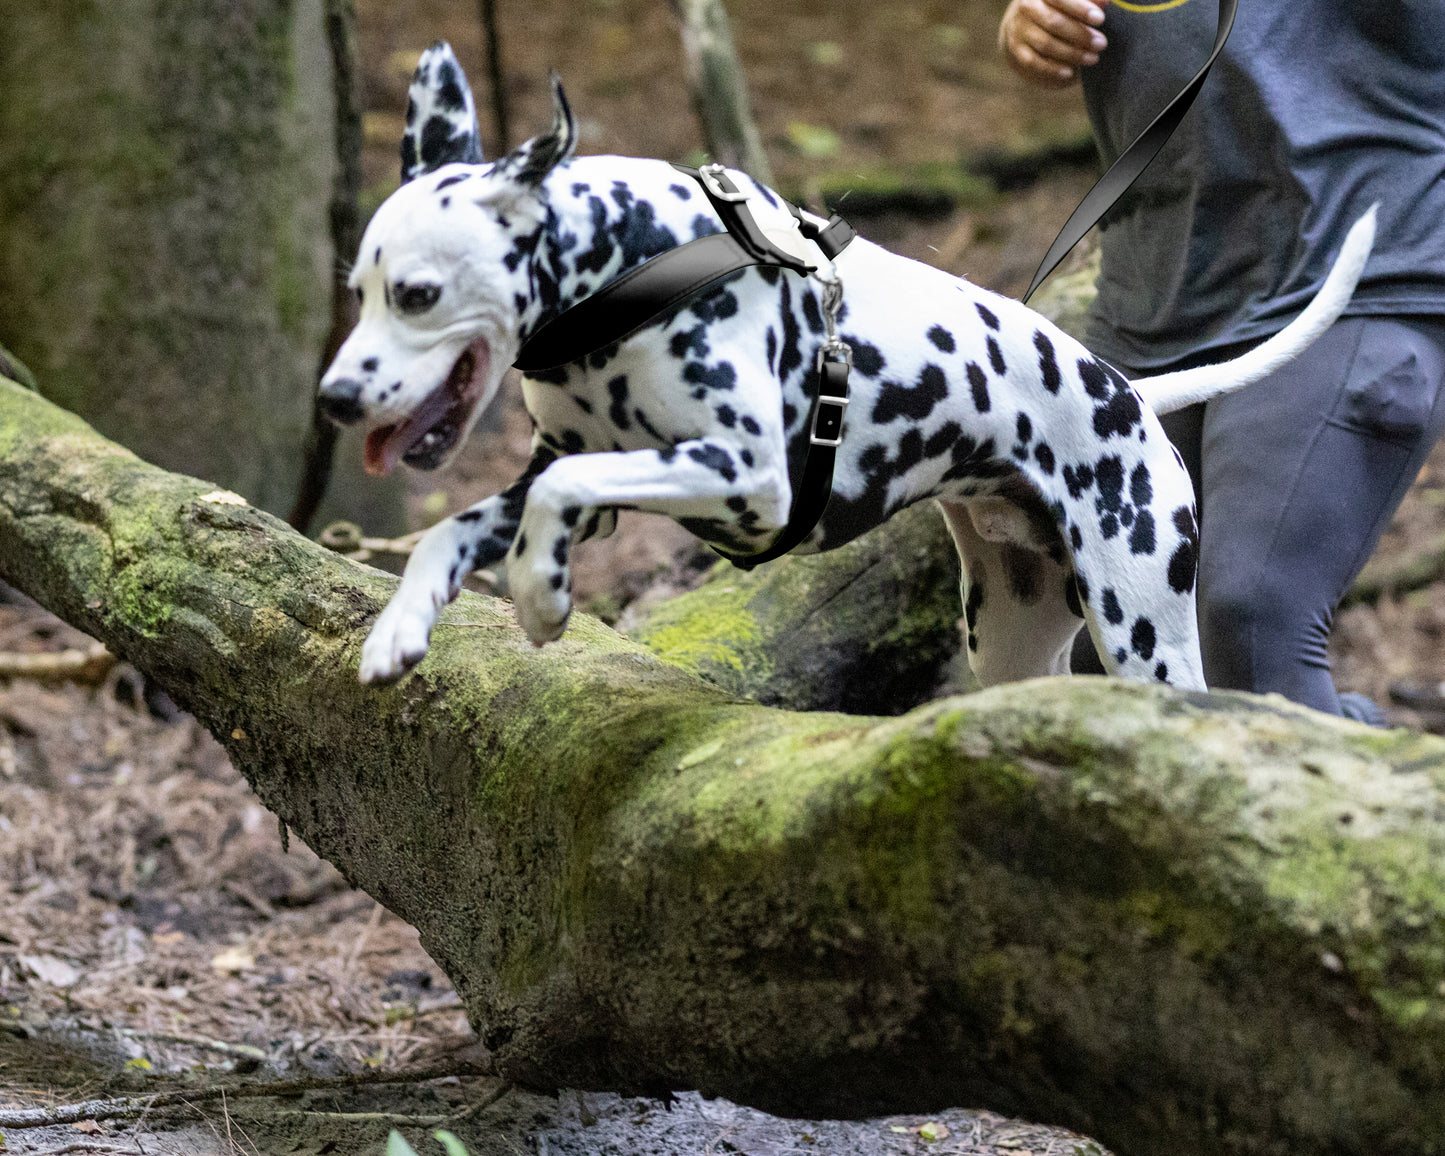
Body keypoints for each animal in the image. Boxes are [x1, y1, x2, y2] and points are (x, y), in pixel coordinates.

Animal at [322, 42, 1369, 696]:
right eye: (359, 290)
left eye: (416, 294)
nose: (334, 398)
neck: (633, 259)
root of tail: (1130, 393)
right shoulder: (574, 474)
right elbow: (457, 525)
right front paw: (400, 627)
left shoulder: (747, 480)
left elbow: (559, 492)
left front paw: (542, 600)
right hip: (1011, 635)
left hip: (1142, 627)